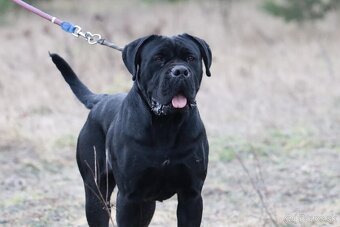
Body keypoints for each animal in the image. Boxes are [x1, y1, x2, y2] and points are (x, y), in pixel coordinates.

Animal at [50, 33, 211, 227]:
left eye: (190, 58)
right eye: (158, 58)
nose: (180, 71)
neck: (166, 124)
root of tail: (101, 99)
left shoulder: (191, 195)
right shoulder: (129, 197)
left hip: (146, 203)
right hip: (96, 192)